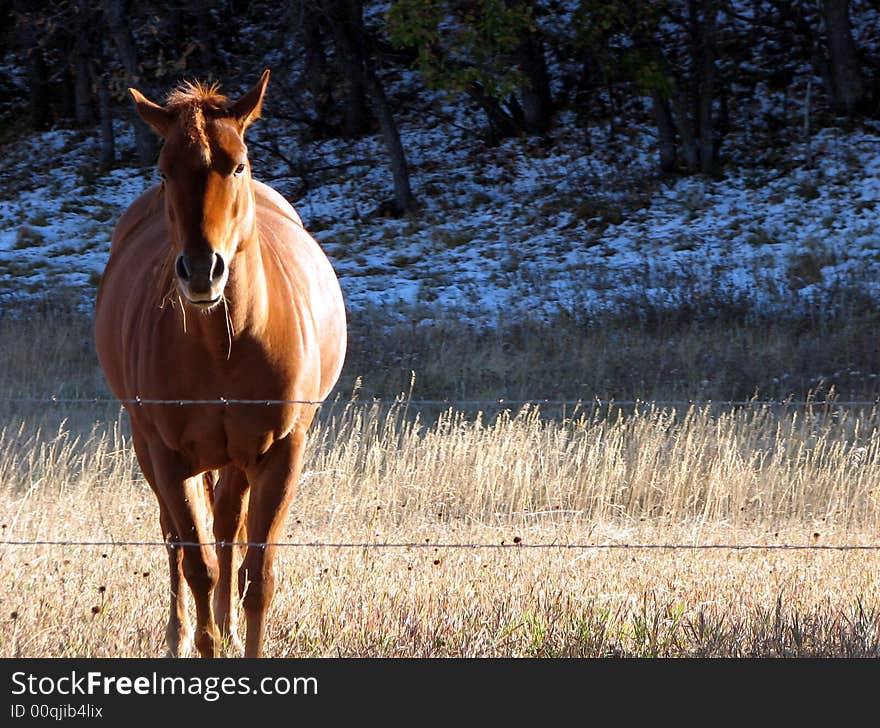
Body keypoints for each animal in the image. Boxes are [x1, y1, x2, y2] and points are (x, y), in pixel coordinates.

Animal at [93, 72, 346, 660]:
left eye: (237, 165)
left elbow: (259, 576)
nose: (201, 270)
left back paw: (228, 625)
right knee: (174, 537)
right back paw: (179, 634)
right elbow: (197, 566)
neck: (224, 346)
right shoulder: (168, 456)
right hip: (149, 446)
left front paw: (238, 635)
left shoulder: (282, 452)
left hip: (237, 458)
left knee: (229, 521)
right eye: (164, 171)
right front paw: (203, 641)